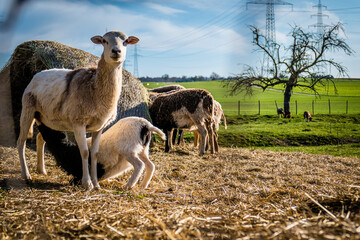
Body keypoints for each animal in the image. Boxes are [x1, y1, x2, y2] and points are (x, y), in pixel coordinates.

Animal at [17, 31, 140, 189]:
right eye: (104, 41)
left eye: (125, 42)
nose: (116, 51)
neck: (95, 89)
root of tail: (37, 74)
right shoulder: (78, 122)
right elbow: (85, 152)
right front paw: (87, 184)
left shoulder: (99, 127)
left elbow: (94, 153)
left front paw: (96, 184)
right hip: (27, 109)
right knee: (21, 142)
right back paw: (26, 175)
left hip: (45, 118)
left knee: (40, 138)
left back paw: (41, 170)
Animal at [35, 116, 165, 189]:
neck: (66, 149)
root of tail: (146, 125)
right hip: (142, 150)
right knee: (150, 165)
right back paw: (143, 185)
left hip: (128, 149)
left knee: (139, 165)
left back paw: (129, 185)